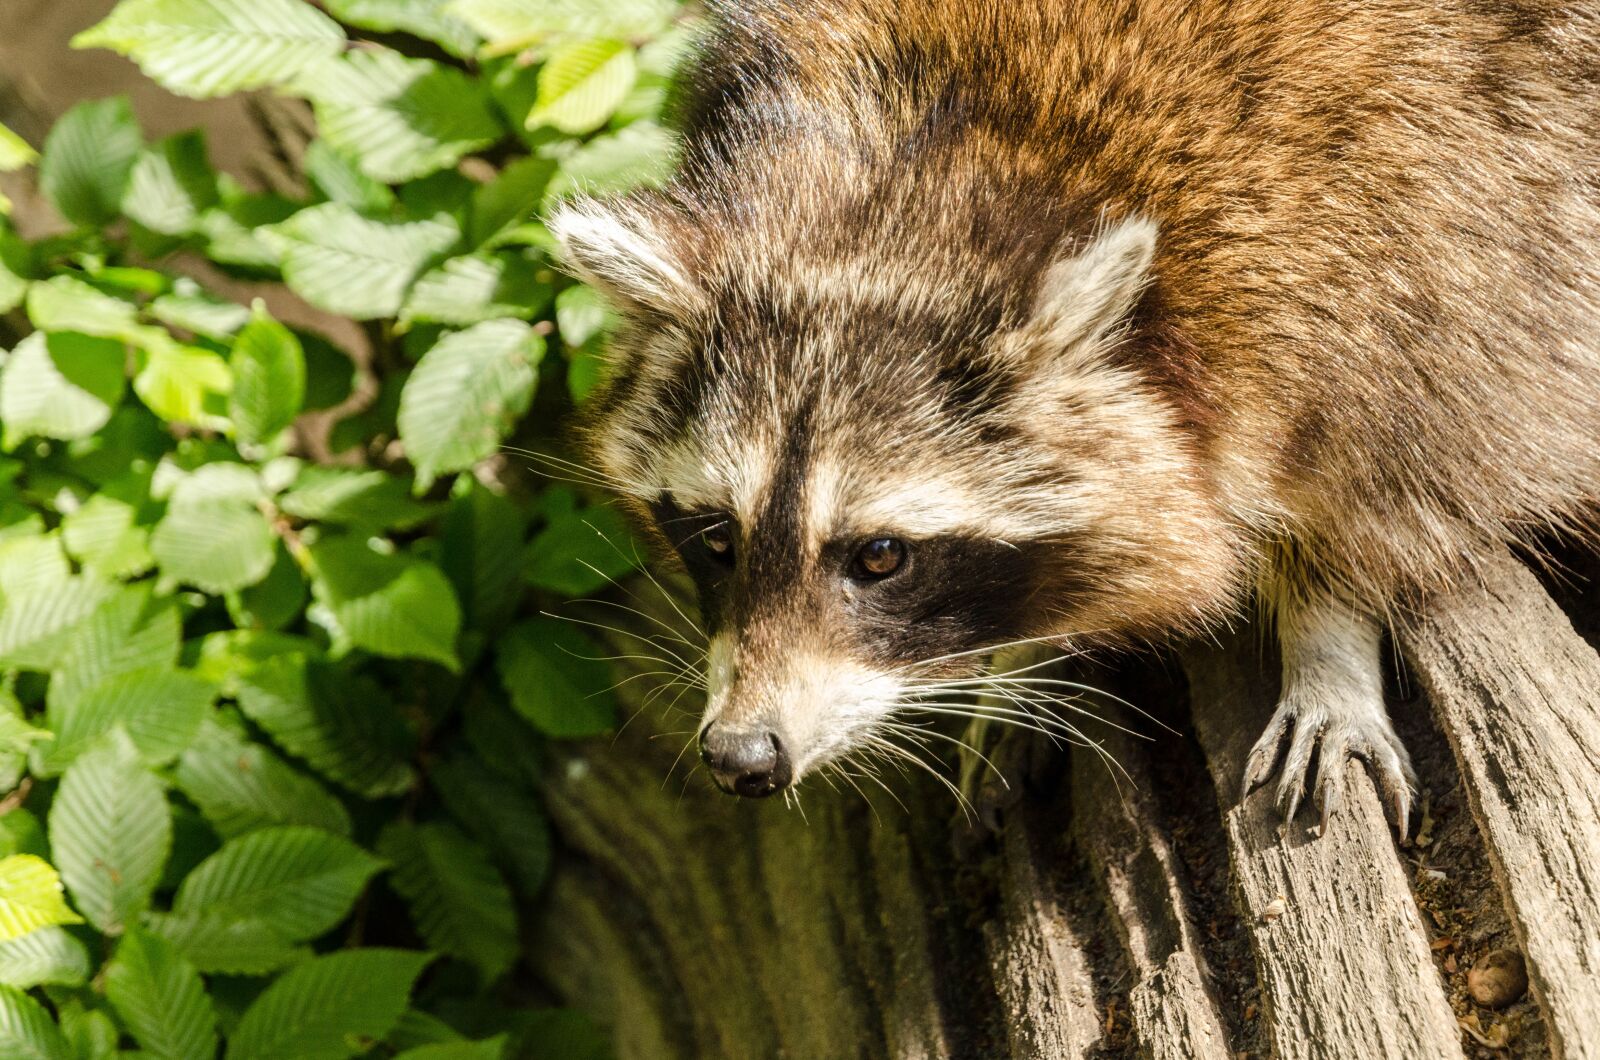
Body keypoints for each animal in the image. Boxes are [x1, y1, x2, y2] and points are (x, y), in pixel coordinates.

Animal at [550, 0, 1600, 832]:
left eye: (880, 557)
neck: (926, 172)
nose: (744, 756)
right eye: (718, 539)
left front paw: (1327, 634)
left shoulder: (1430, 240)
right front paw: (1022, 652)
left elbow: (1398, 464)